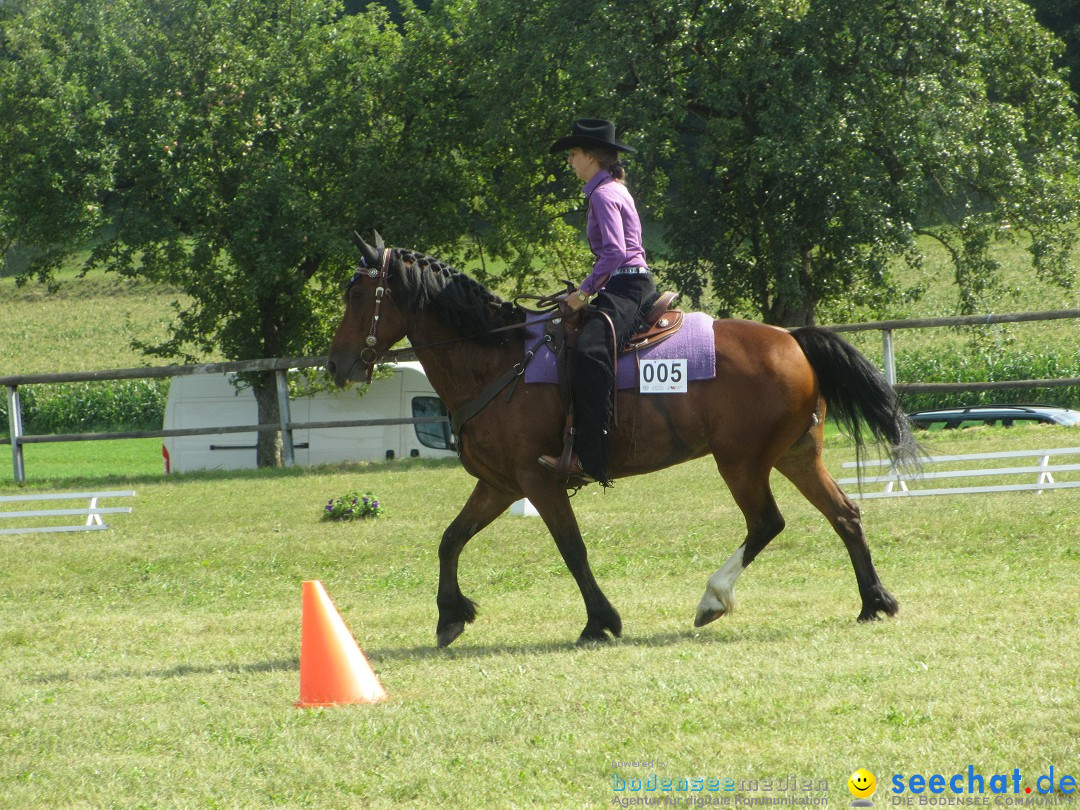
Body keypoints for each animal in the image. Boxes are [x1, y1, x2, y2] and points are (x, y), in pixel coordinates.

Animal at [324, 233, 915, 648]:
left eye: (357, 293)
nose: (336, 365)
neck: (498, 360)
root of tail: (791, 338)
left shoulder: (538, 480)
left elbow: (572, 548)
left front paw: (600, 621)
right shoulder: (500, 485)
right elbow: (451, 539)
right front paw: (450, 615)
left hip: (741, 462)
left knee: (767, 522)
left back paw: (713, 598)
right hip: (796, 455)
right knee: (845, 515)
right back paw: (875, 602)